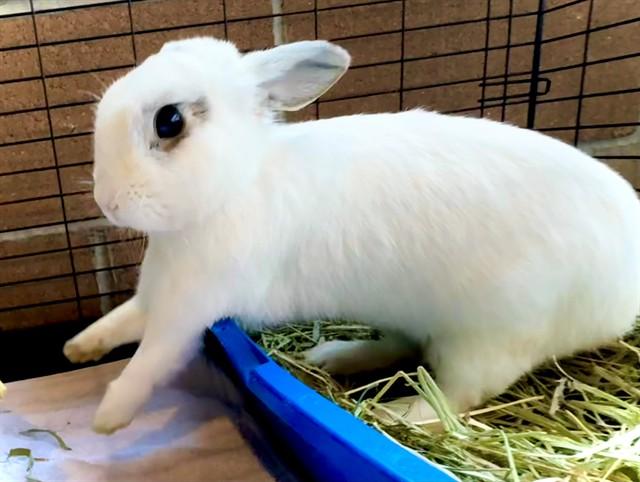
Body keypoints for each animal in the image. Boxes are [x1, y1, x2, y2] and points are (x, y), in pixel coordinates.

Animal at [62, 36, 640, 435]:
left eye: (170, 121)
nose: (107, 202)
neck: (237, 183)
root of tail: (620, 301)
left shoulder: (190, 308)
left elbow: (151, 358)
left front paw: (108, 417)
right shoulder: (155, 295)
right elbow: (121, 321)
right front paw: (78, 349)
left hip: (492, 338)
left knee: (455, 398)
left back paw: (397, 413)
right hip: (411, 312)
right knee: (406, 346)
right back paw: (336, 356)